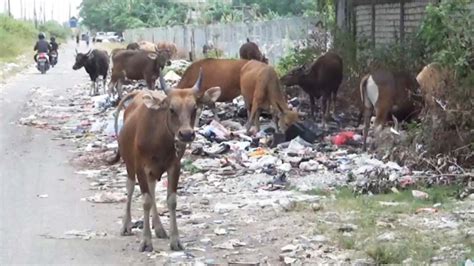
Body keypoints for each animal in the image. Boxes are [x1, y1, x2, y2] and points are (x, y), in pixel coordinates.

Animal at [109, 70, 222, 251]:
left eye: (194, 108)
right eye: (171, 109)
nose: (186, 134)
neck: (158, 139)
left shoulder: (174, 166)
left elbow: (171, 201)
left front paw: (175, 240)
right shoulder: (140, 167)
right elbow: (146, 201)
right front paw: (146, 241)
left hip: (153, 171)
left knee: (153, 188)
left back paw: (159, 228)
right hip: (130, 165)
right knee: (130, 188)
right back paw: (126, 225)